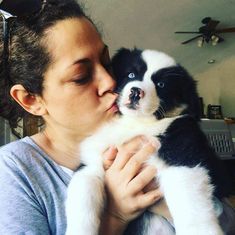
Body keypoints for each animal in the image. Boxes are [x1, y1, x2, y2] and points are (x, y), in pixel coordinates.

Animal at [65, 47, 230, 235]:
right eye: (131, 74)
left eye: (161, 85)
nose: (136, 92)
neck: (136, 123)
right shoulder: (92, 163)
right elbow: (82, 194)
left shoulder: (182, 153)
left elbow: (190, 201)